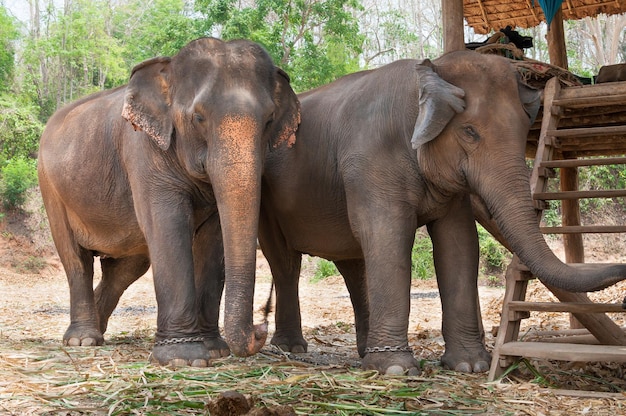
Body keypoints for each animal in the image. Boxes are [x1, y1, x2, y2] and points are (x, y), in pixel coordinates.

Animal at [37, 37, 302, 366]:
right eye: (198, 118)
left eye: (268, 120)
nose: (261, 328)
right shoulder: (143, 150)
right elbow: (169, 227)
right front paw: (184, 358)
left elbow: (212, 240)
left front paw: (214, 350)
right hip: (51, 188)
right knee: (76, 258)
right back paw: (83, 340)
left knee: (125, 268)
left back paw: (97, 330)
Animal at [256, 50, 624, 376]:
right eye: (469, 132)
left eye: (524, 131)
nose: (621, 267)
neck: (428, 72)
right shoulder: (369, 162)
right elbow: (389, 237)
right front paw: (396, 369)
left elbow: (459, 243)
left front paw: (469, 366)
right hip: (268, 200)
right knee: (286, 262)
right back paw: (290, 348)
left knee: (352, 265)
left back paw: (362, 353)